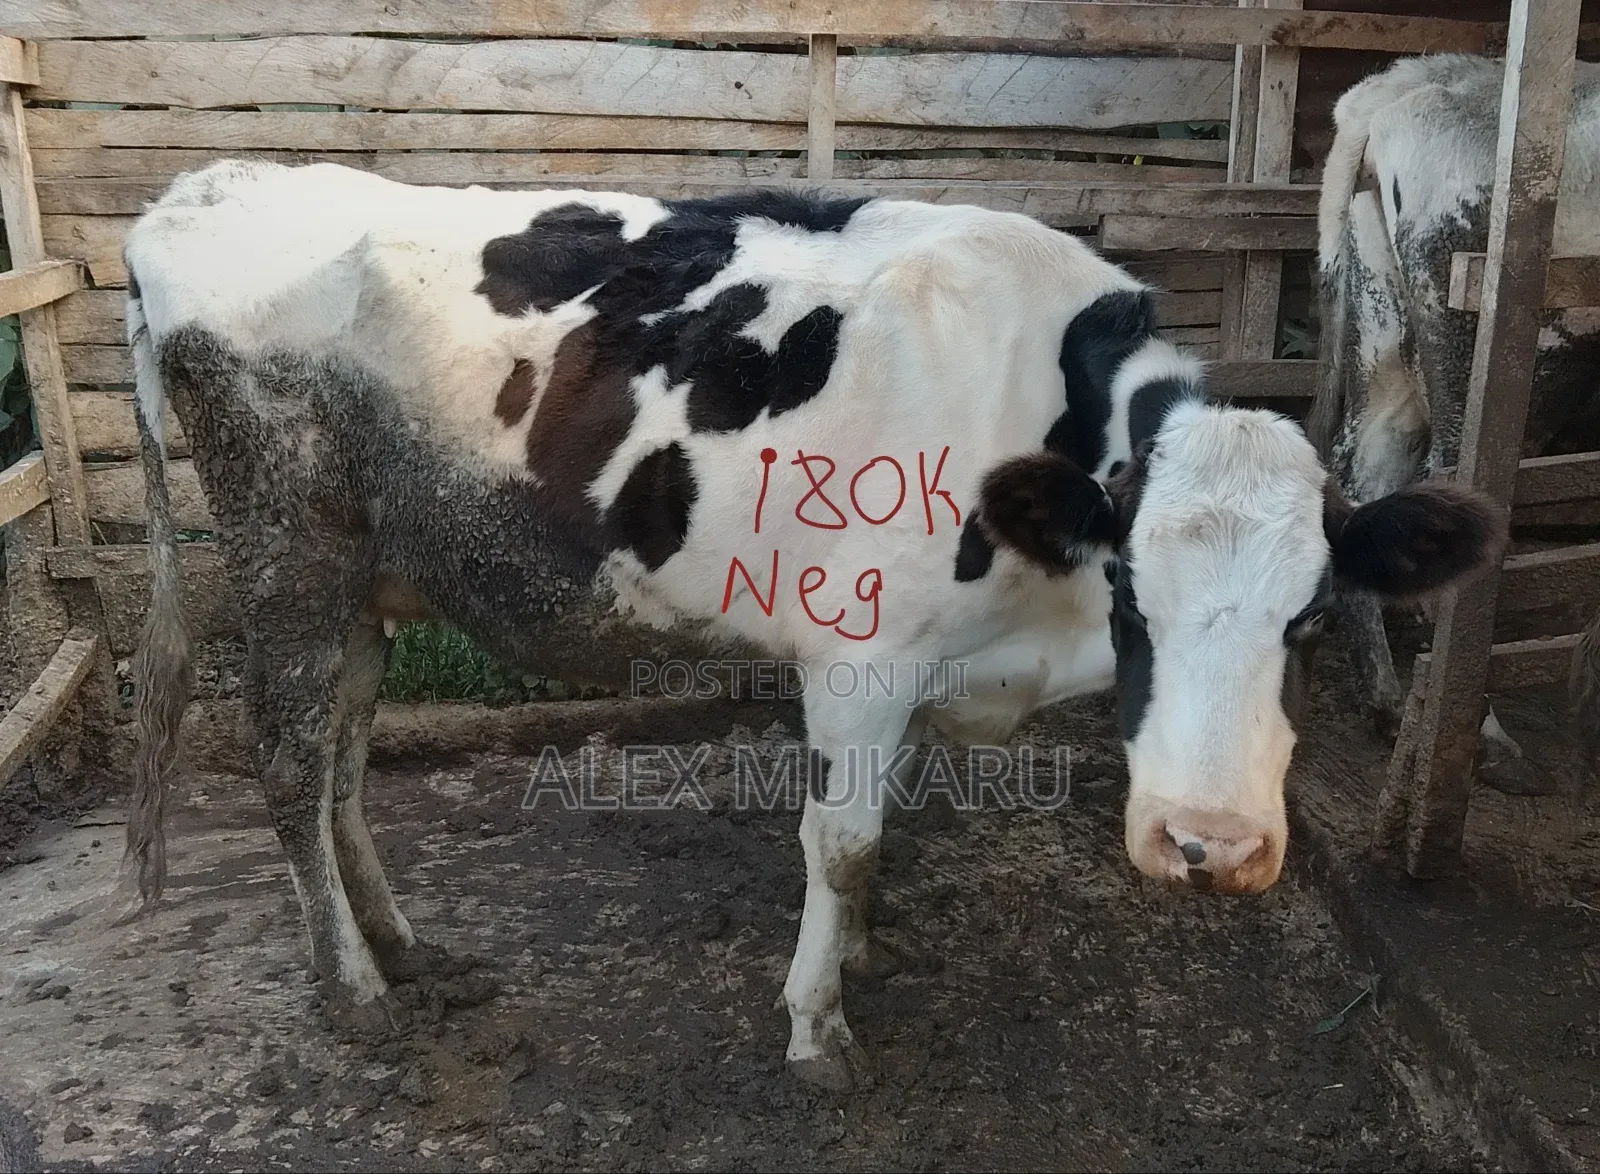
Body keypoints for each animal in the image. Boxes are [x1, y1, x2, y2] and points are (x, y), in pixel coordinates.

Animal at [123, 160, 1502, 1088]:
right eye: (1131, 596)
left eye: (1309, 620)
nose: (1208, 844)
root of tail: (208, 188)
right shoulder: (859, 657)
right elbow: (841, 841)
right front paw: (817, 1024)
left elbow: (881, 834)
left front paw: (863, 957)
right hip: (288, 559)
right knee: (290, 765)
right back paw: (353, 986)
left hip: (370, 582)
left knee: (345, 761)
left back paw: (407, 948)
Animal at [1313, 52, 1600, 787]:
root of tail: (1396, 88)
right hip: (1495, 359)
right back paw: (1479, 737)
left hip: (1385, 337)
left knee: (1364, 472)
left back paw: (1387, 701)